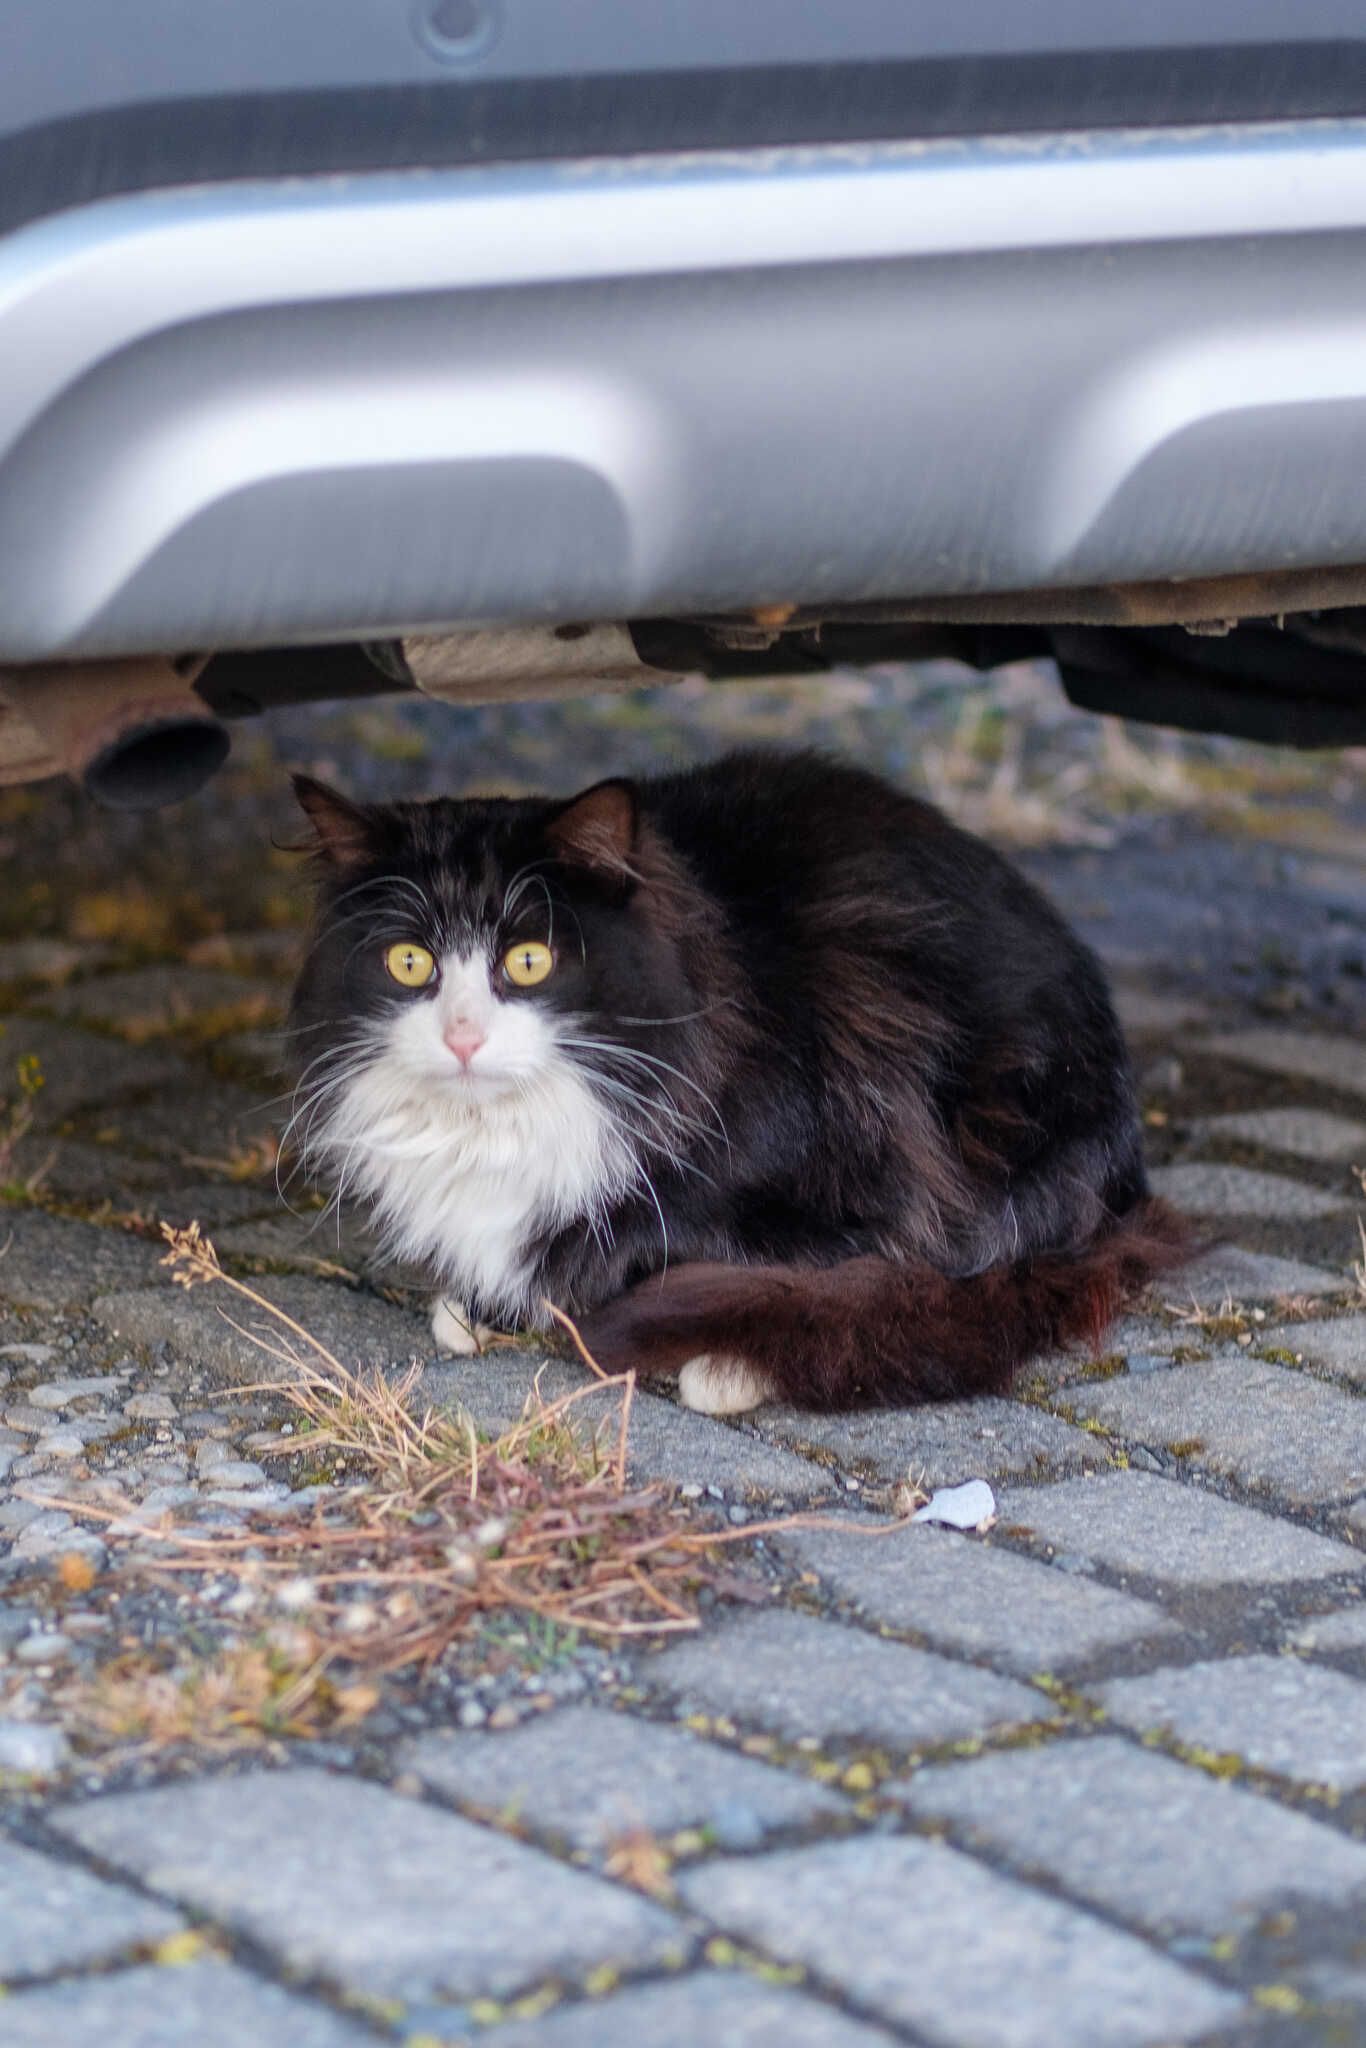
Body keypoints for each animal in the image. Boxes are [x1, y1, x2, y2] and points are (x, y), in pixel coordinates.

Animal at [288, 749, 1187, 1409]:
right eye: (411, 963)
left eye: (530, 960)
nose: (463, 1037)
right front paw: (477, 1307)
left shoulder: (854, 1195)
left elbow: (751, 1273)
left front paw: (719, 1358)